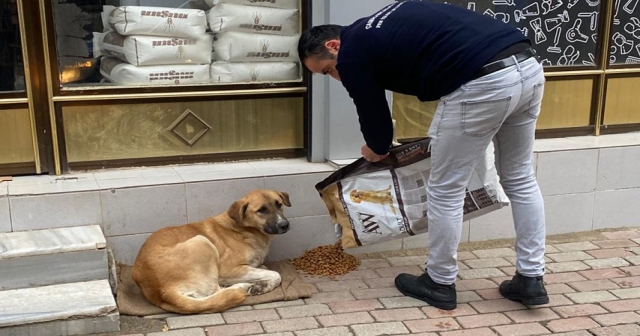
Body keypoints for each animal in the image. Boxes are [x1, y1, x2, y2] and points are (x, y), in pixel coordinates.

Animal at [132, 190, 292, 314]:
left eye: (279, 204)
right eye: (261, 210)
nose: (284, 225)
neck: (244, 229)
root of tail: (161, 291)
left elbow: (263, 269)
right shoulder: (229, 270)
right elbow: (276, 274)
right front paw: (262, 285)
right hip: (202, 241)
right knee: (216, 291)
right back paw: (242, 286)